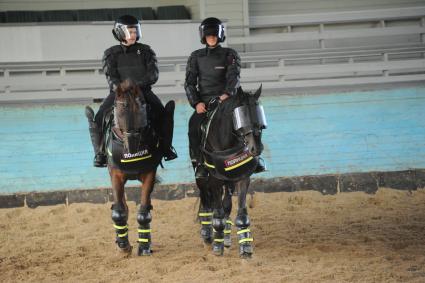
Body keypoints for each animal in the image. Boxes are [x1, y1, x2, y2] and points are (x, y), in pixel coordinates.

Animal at [84, 80, 171, 258]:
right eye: (119, 111)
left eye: (141, 108)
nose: (132, 145)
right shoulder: (116, 176)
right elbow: (119, 211)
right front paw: (123, 246)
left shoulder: (149, 174)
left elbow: (144, 213)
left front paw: (144, 247)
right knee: (123, 206)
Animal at [195, 85, 264, 258]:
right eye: (241, 116)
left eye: (259, 114)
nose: (256, 148)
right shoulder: (214, 180)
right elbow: (217, 214)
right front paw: (217, 247)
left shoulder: (243, 177)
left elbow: (241, 213)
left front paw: (245, 248)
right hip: (202, 179)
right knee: (206, 204)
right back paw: (208, 237)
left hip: (229, 181)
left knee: (226, 205)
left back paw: (225, 239)